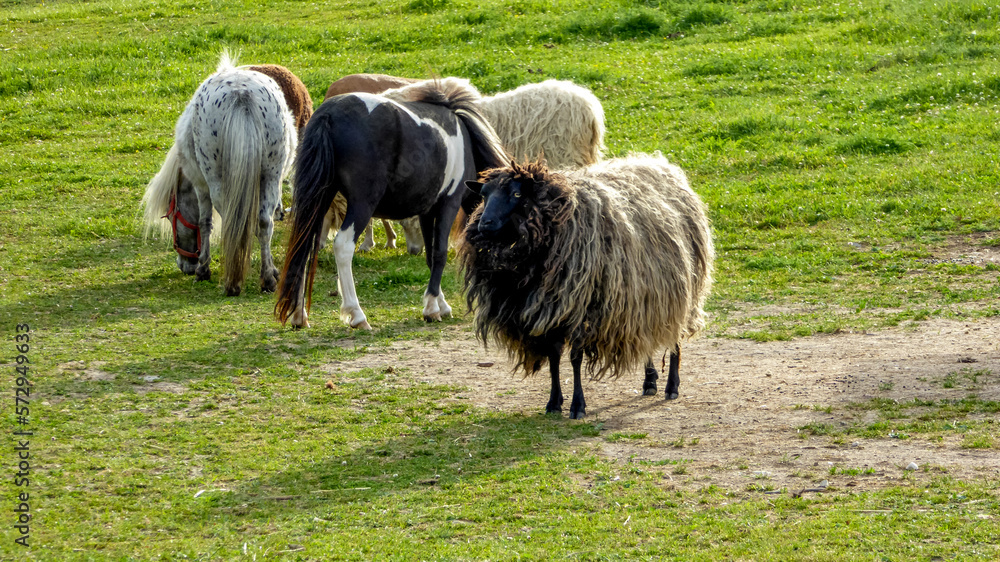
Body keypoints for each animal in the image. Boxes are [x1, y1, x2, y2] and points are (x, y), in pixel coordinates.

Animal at [458, 155, 714, 419]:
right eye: (484, 195)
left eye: (517, 194)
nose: (485, 224)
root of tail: (661, 165)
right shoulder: (548, 311)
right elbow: (554, 357)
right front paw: (554, 402)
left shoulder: (580, 310)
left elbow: (575, 359)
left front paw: (577, 405)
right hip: (646, 298)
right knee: (647, 338)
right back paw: (649, 381)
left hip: (683, 291)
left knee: (676, 338)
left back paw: (672, 386)